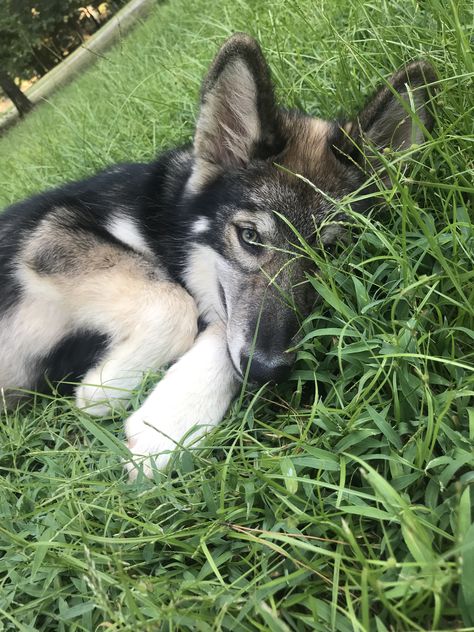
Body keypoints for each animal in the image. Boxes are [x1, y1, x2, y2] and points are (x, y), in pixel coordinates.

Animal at [0, 34, 436, 476]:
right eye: (249, 236)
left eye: (331, 252)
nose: (267, 371)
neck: (162, 223)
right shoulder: (48, 232)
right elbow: (176, 304)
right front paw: (103, 387)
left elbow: (210, 323)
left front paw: (171, 420)